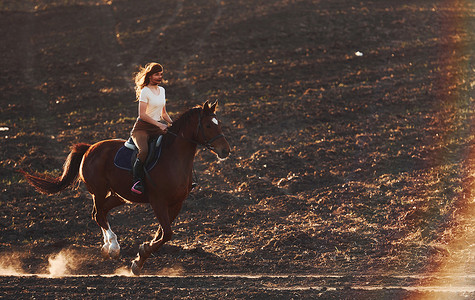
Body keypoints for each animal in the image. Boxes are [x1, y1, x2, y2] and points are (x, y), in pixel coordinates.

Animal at [21, 100, 231, 274]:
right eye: (208, 125)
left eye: (219, 123)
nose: (226, 151)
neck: (174, 158)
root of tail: (90, 148)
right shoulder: (158, 201)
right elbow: (167, 233)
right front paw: (141, 255)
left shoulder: (176, 203)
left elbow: (163, 233)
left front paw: (139, 259)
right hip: (99, 190)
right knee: (98, 214)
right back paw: (113, 247)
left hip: (120, 196)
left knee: (101, 212)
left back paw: (107, 248)